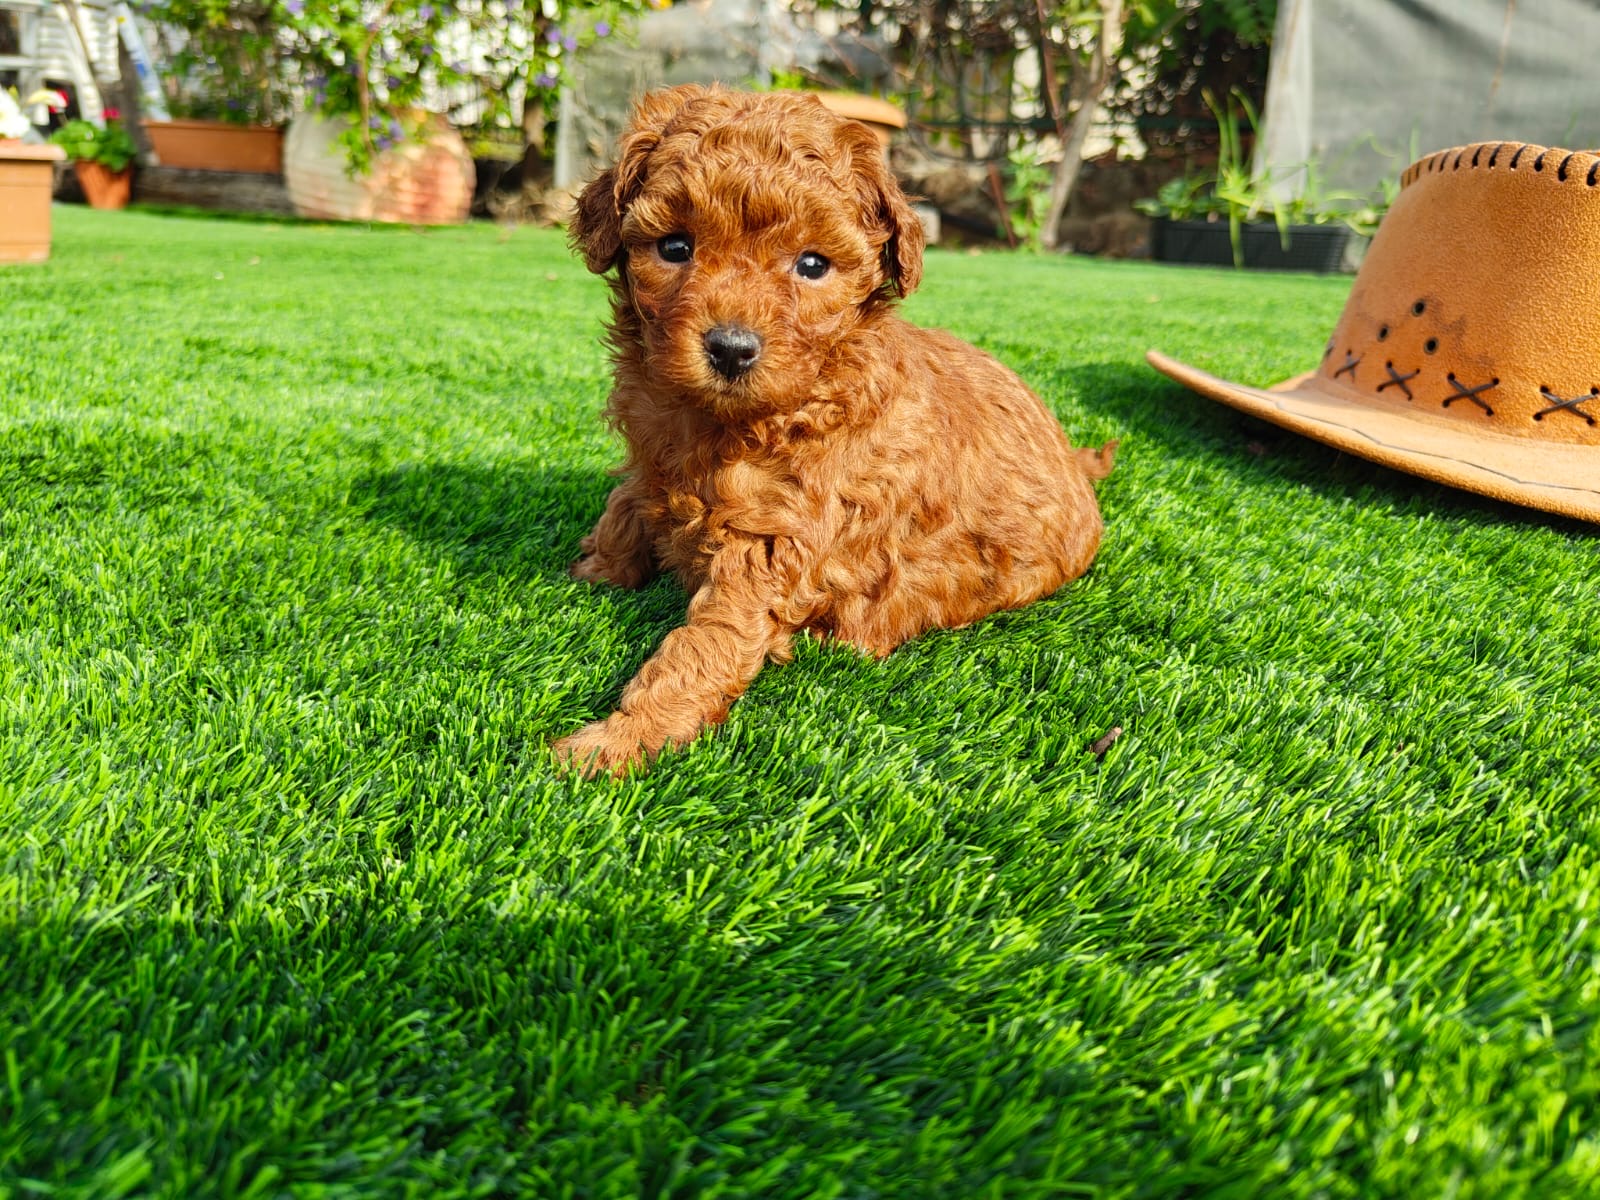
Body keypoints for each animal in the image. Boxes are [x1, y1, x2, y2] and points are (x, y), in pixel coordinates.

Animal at [556, 86, 1120, 780]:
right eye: (675, 248)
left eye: (812, 264)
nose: (731, 349)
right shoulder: (652, 455)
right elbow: (625, 503)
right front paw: (597, 566)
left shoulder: (779, 540)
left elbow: (706, 645)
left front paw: (621, 739)